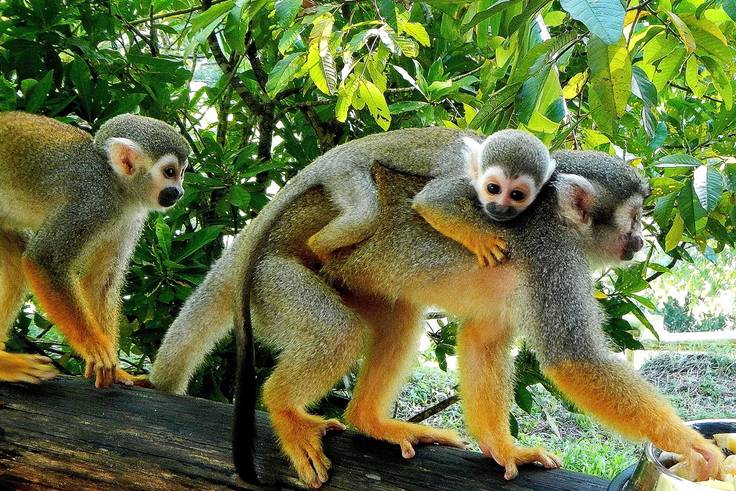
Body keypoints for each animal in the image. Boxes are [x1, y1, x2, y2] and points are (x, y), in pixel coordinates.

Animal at [0, 111, 190, 388]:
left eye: (181, 173)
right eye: (169, 172)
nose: (179, 192)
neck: (115, 184)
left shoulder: (130, 217)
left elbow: (100, 282)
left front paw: (118, 372)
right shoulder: (91, 202)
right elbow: (46, 260)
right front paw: (95, 349)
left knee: (15, 265)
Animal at [150, 137, 721, 487]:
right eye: (633, 219)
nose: (640, 240)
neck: (559, 224)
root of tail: (251, 246)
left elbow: (484, 339)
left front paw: (503, 447)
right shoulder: (554, 257)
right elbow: (574, 359)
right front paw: (695, 447)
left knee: (398, 321)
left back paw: (369, 420)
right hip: (273, 285)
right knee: (336, 332)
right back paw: (286, 411)